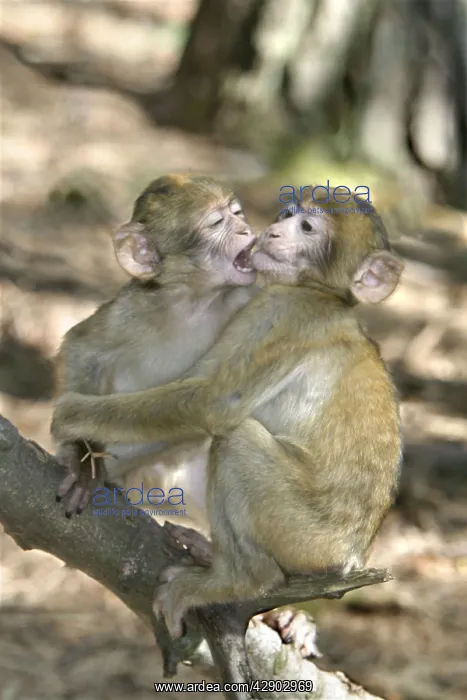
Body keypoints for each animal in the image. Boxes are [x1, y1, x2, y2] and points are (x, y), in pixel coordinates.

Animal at [54, 173, 258, 518]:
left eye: (237, 213)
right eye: (217, 223)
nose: (246, 230)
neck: (194, 302)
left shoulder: (249, 299)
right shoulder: (134, 308)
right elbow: (81, 348)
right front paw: (84, 454)